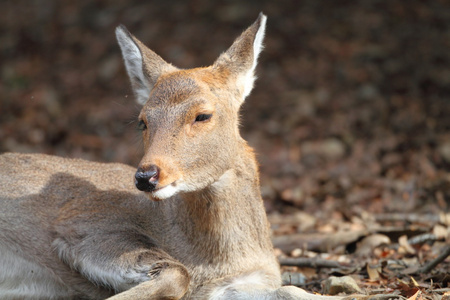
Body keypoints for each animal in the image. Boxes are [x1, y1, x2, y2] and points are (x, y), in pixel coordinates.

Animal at [0, 12, 344, 298]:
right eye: (143, 121)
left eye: (203, 115)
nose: (147, 176)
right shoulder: (84, 224)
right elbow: (178, 273)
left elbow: (293, 291)